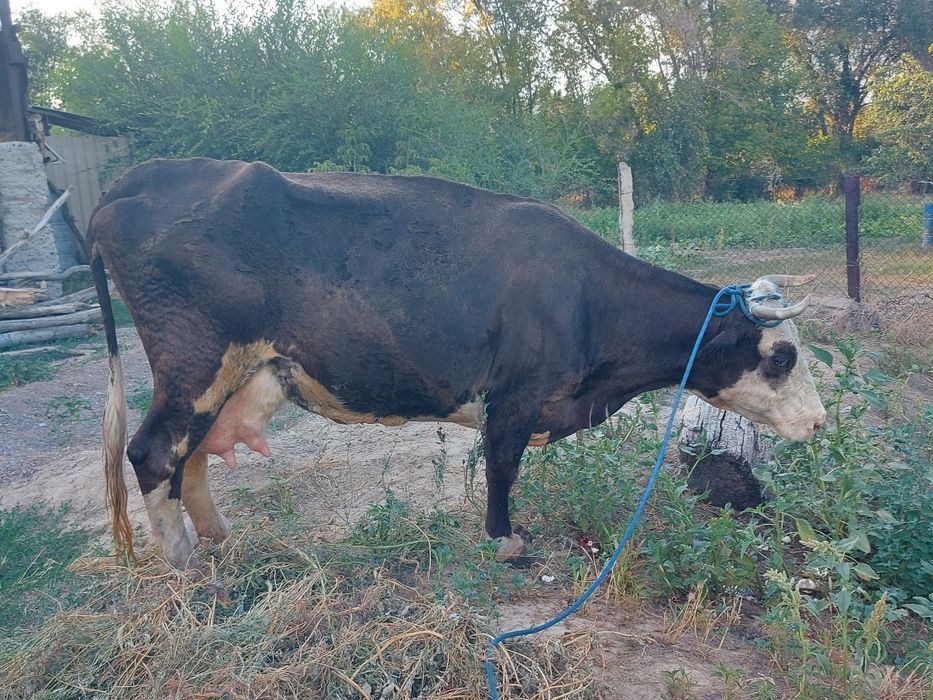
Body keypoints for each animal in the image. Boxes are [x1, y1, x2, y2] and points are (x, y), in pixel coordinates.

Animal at [88, 158, 826, 569]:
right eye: (783, 356)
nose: (820, 423)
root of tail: (138, 177)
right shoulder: (514, 397)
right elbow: (501, 467)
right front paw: (505, 540)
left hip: (239, 373)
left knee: (191, 456)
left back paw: (219, 540)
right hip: (193, 360)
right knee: (154, 452)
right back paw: (186, 565)